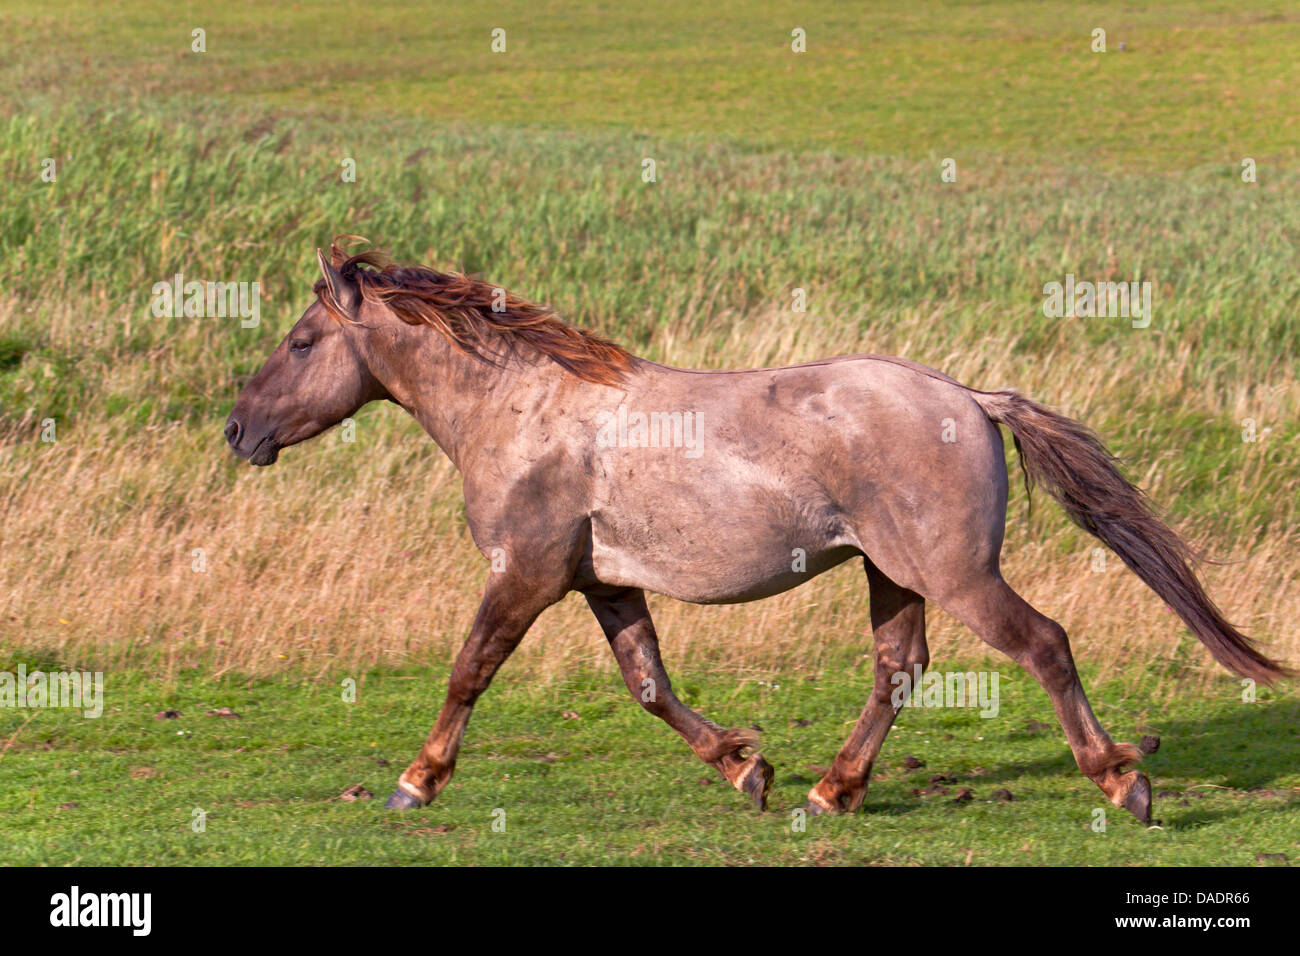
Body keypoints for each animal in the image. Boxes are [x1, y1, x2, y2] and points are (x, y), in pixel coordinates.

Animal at [226, 239, 1289, 822]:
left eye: (302, 343)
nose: (238, 431)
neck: (524, 411)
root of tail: (970, 398)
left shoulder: (524, 573)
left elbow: (468, 670)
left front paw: (415, 782)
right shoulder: (603, 581)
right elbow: (649, 685)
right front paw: (748, 769)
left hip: (954, 572)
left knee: (1043, 643)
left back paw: (1122, 785)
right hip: (891, 572)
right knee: (898, 667)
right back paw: (831, 793)